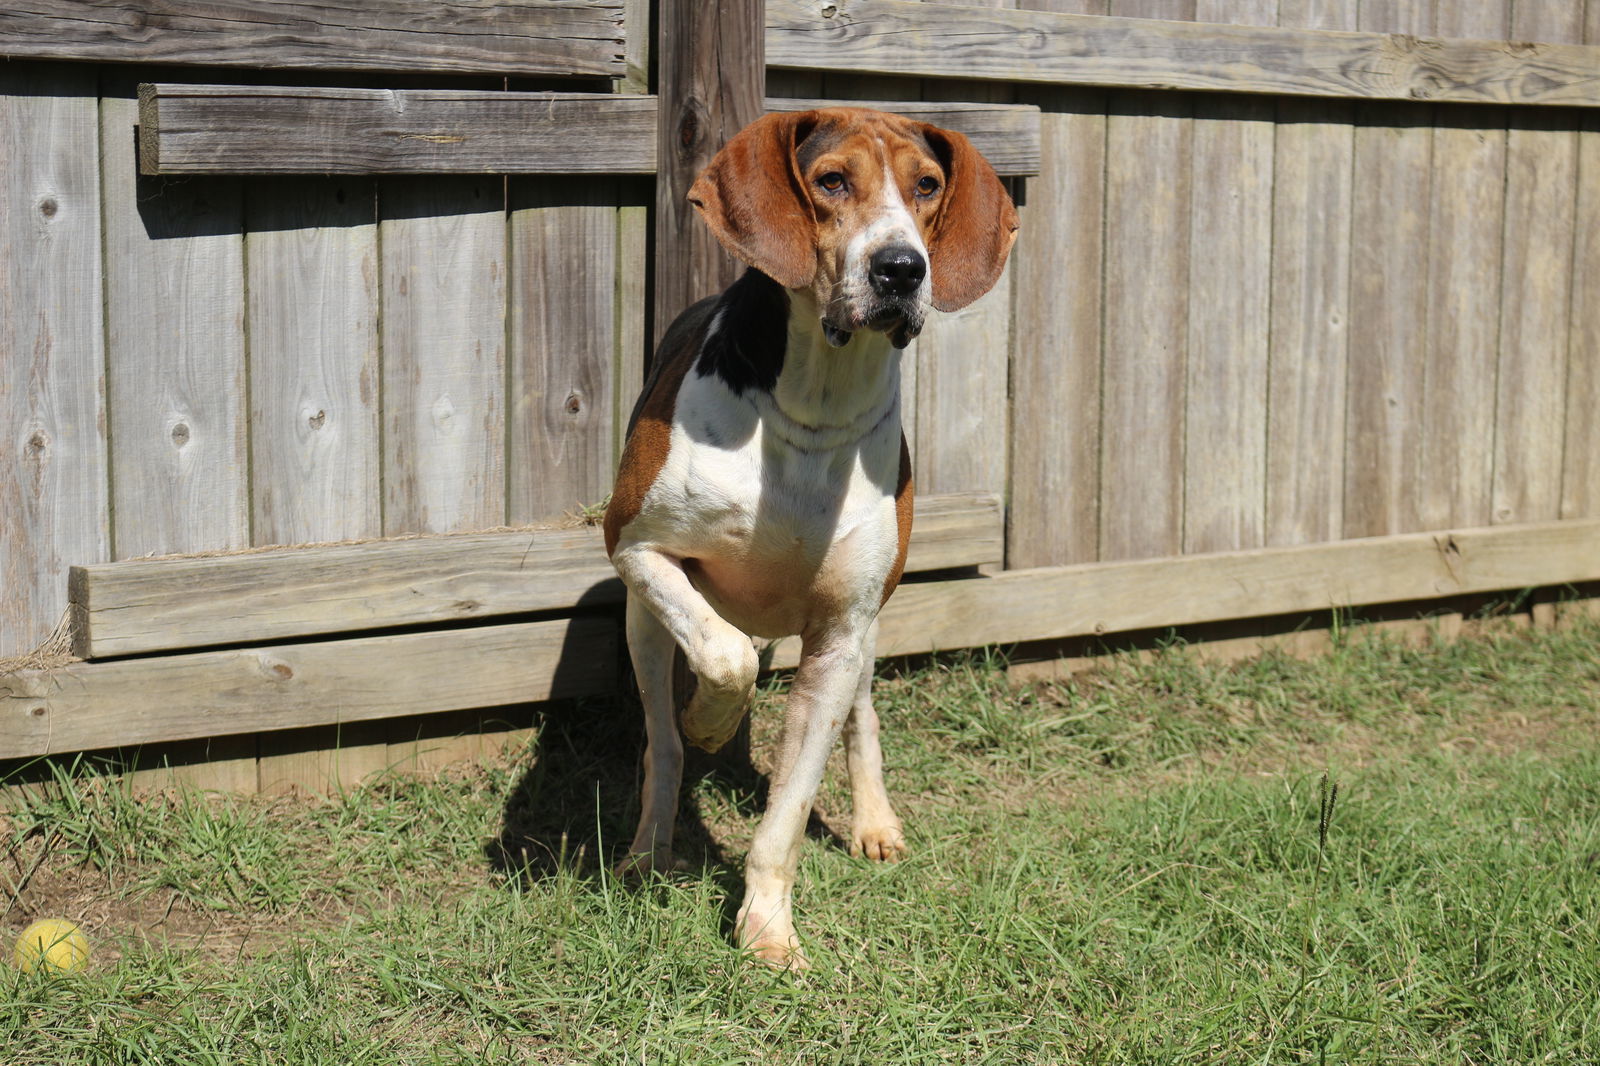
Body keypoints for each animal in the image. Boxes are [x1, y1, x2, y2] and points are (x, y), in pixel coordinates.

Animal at [604, 105, 1017, 960]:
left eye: (927, 187)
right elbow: (724, 658)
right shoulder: (634, 545)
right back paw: (650, 843)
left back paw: (874, 822)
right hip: (642, 622)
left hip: (865, 631)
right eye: (831, 181)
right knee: (663, 737)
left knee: (862, 715)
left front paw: (766, 926)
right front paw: (713, 720)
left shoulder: (840, 632)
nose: (902, 270)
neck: (815, 404)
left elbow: (789, 810)